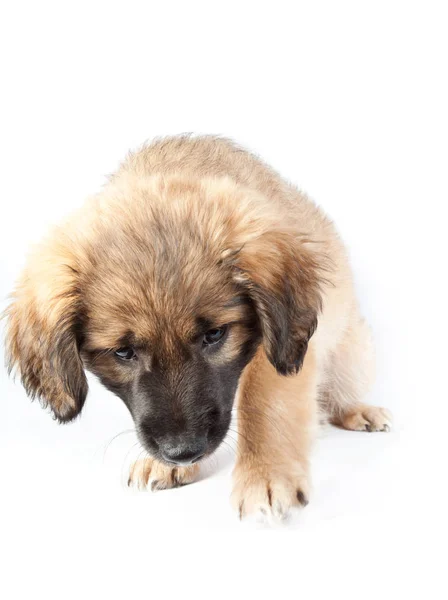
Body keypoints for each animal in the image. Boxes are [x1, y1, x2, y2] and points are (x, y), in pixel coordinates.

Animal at [3, 136, 390, 520]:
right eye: (123, 352)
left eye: (214, 335)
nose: (182, 451)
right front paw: (170, 466)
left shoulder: (279, 351)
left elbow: (263, 401)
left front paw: (265, 475)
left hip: (352, 353)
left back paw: (358, 411)